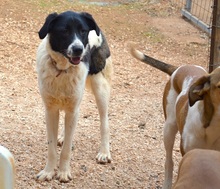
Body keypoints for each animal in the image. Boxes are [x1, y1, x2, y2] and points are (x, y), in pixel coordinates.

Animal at [36, 11, 112, 182]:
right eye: (64, 31)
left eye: (83, 31)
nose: (78, 49)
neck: (62, 69)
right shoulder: (50, 110)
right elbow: (51, 148)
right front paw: (48, 171)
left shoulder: (72, 108)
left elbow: (65, 151)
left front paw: (63, 172)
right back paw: (63, 137)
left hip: (100, 88)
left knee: (104, 122)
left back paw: (104, 152)